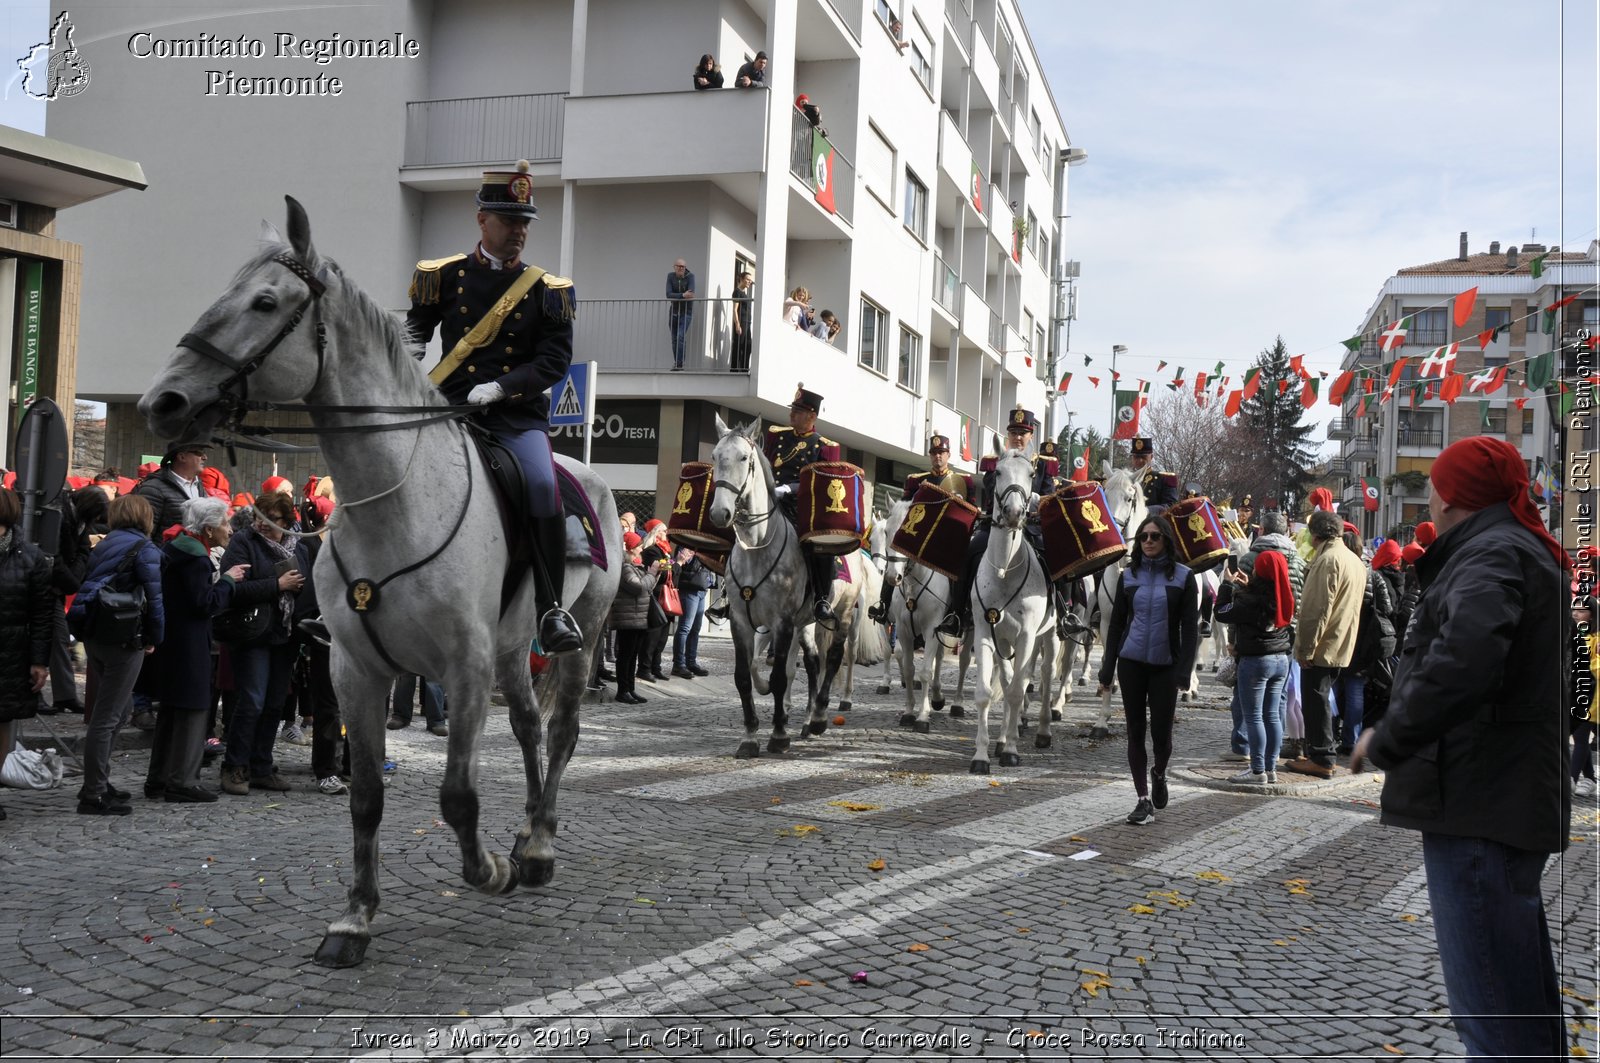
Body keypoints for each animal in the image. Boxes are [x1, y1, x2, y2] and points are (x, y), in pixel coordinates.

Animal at [134, 199, 620, 973]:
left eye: (265, 301)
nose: (162, 401)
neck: (396, 501)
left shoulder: (462, 665)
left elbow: (457, 795)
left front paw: (489, 869)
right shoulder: (354, 669)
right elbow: (364, 795)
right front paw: (355, 918)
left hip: (579, 635)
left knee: (564, 727)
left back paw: (538, 846)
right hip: (513, 648)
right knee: (528, 725)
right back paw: (526, 835)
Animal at [966, 445, 1056, 771]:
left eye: (1031, 474)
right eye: (998, 473)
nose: (1015, 513)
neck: (1005, 570)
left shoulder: (1027, 635)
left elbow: (1018, 692)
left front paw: (1012, 752)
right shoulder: (985, 631)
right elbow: (987, 693)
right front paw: (981, 755)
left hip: (1048, 636)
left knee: (1044, 675)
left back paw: (1042, 731)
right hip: (1004, 641)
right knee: (1007, 680)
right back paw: (1004, 737)